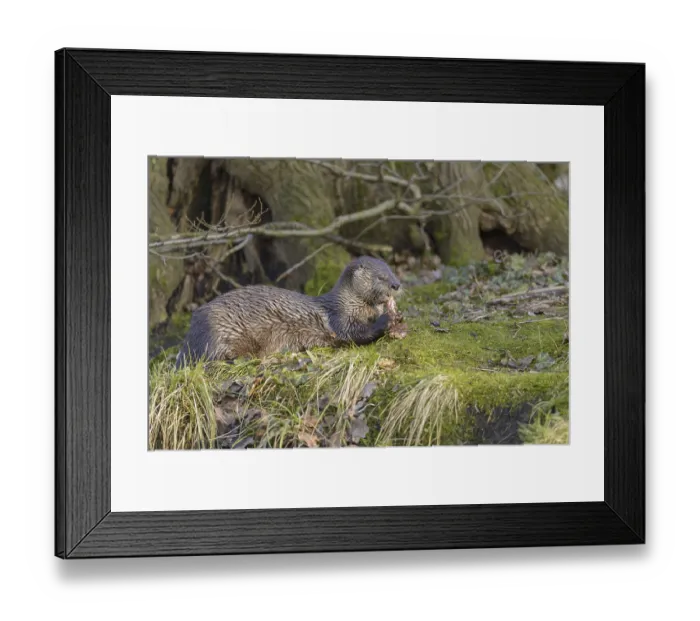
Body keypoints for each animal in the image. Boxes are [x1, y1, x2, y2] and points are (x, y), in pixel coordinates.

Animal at [175, 256, 406, 367]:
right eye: (381, 277)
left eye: (392, 272)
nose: (396, 284)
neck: (351, 303)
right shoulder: (340, 317)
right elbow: (353, 333)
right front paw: (386, 319)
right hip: (218, 329)